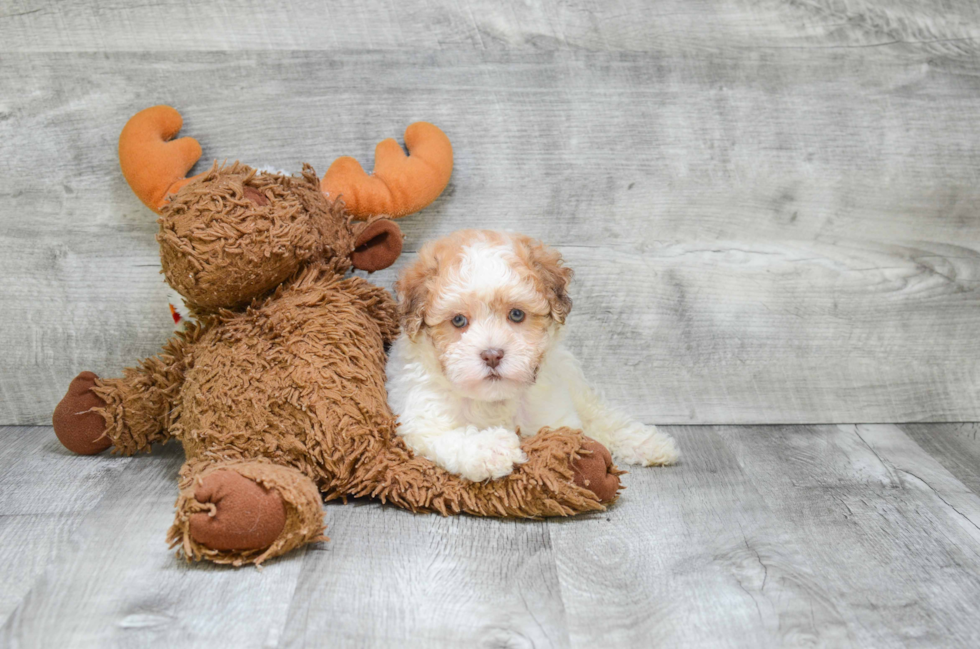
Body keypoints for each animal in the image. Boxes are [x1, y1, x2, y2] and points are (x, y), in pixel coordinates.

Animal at [386, 229, 676, 480]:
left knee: (596, 412)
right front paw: (492, 449)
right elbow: (451, 436)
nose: (492, 355)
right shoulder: (423, 421)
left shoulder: (557, 419)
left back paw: (651, 443)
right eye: (458, 320)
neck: (494, 401)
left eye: (516, 314)